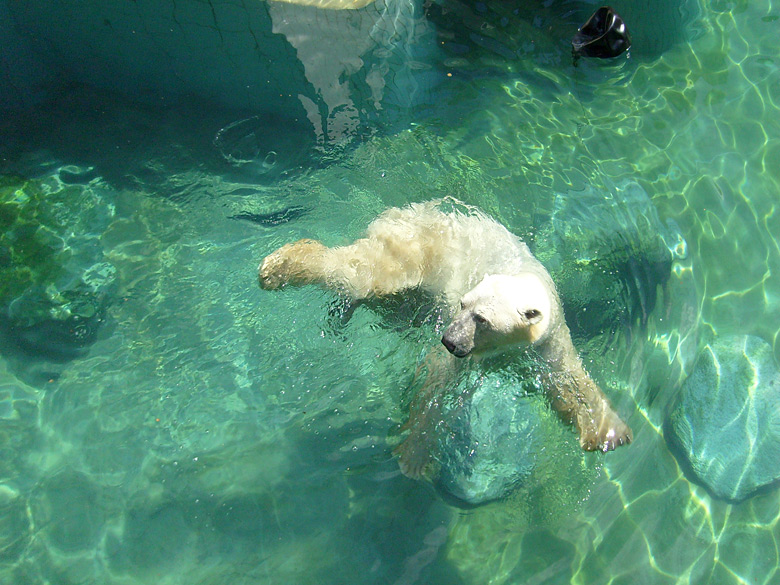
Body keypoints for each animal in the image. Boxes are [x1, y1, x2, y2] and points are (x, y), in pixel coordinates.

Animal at [258, 198, 632, 476]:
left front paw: (612, 434)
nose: (449, 341)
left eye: (481, 318)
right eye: (464, 304)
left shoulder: (547, 339)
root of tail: (405, 211)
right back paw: (278, 267)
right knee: (364, 272)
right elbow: (436, 385)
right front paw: (414, 456)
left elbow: (568, 381)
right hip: (413, 250)